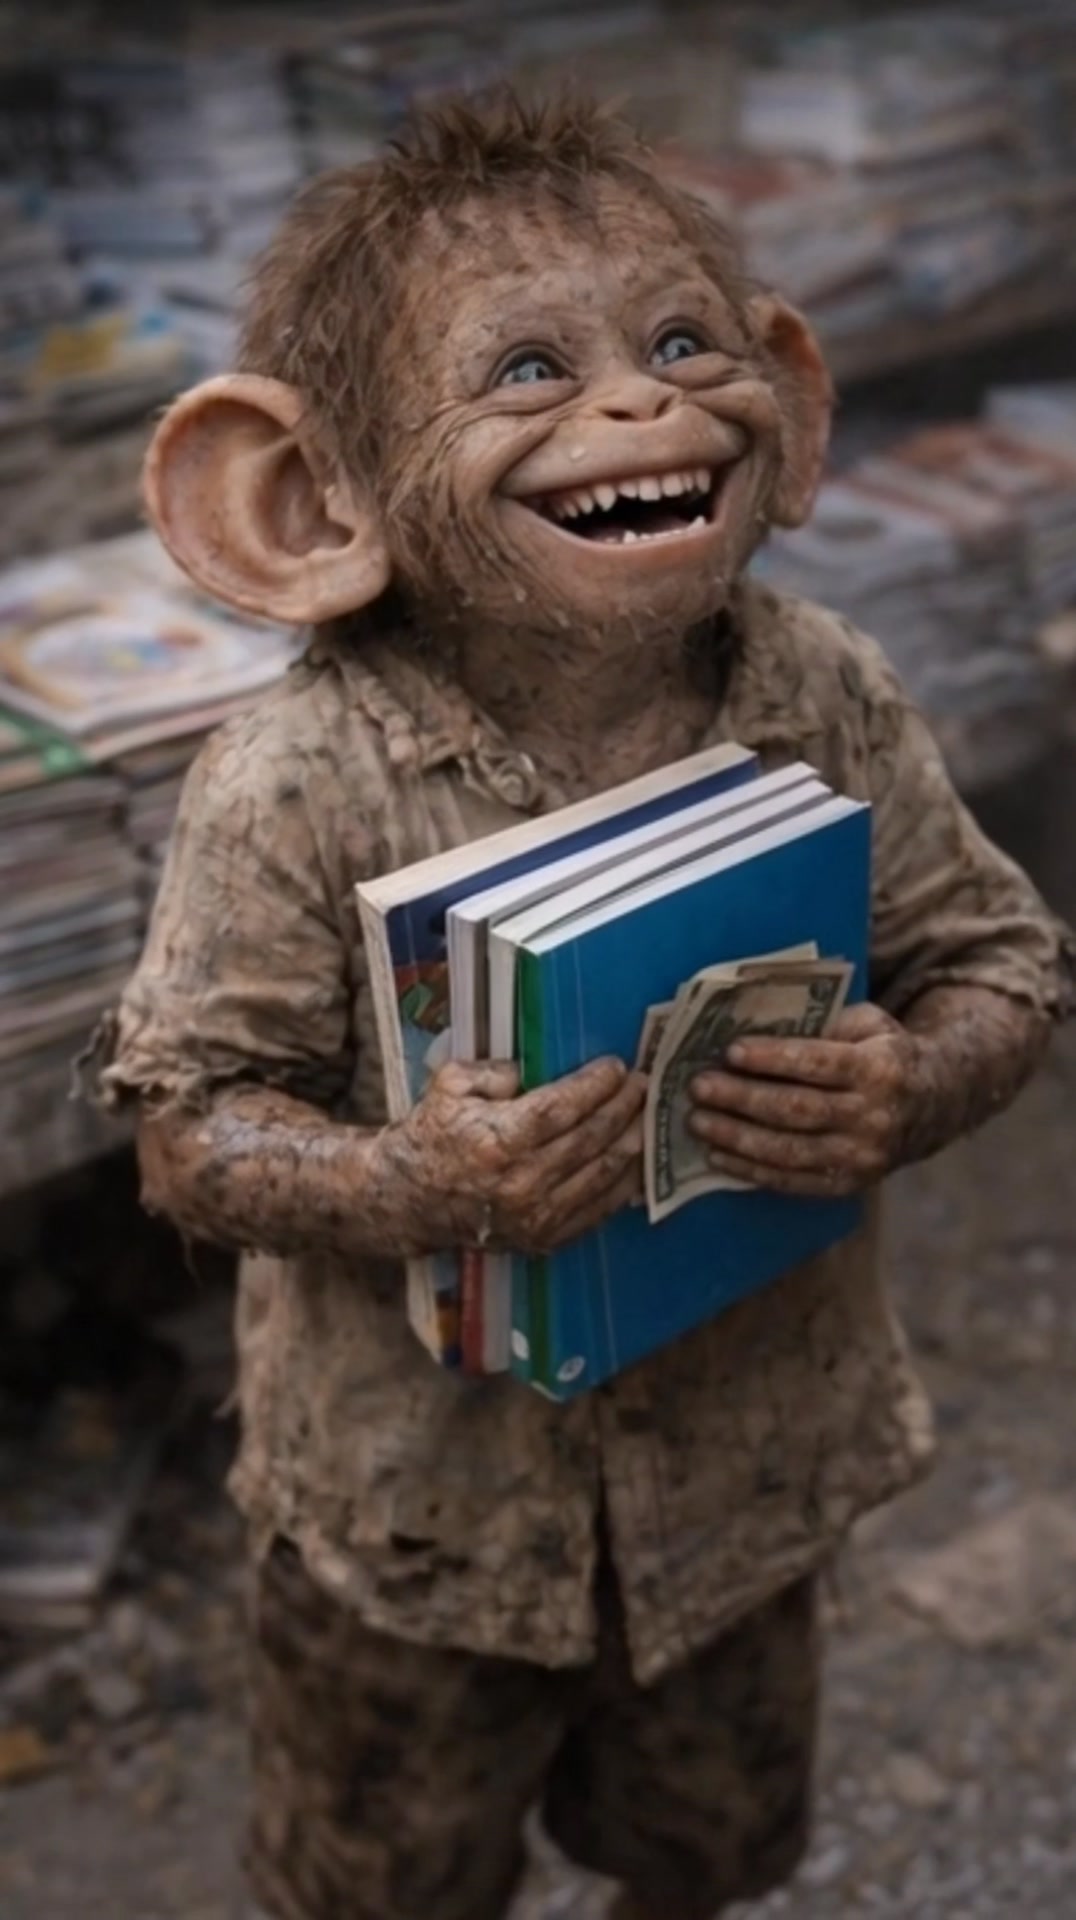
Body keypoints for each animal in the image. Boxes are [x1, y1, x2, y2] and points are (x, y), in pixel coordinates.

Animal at [93, 93, 1071, 1920]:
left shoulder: (876, 708)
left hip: (717, 1710)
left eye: (681, 342)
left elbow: (991, 948)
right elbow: (204, 1104)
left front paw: (838, 1100)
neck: (592, 724)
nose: (640, 408)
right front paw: (492, 1163)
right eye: (532, 371)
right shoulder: (244, 807)